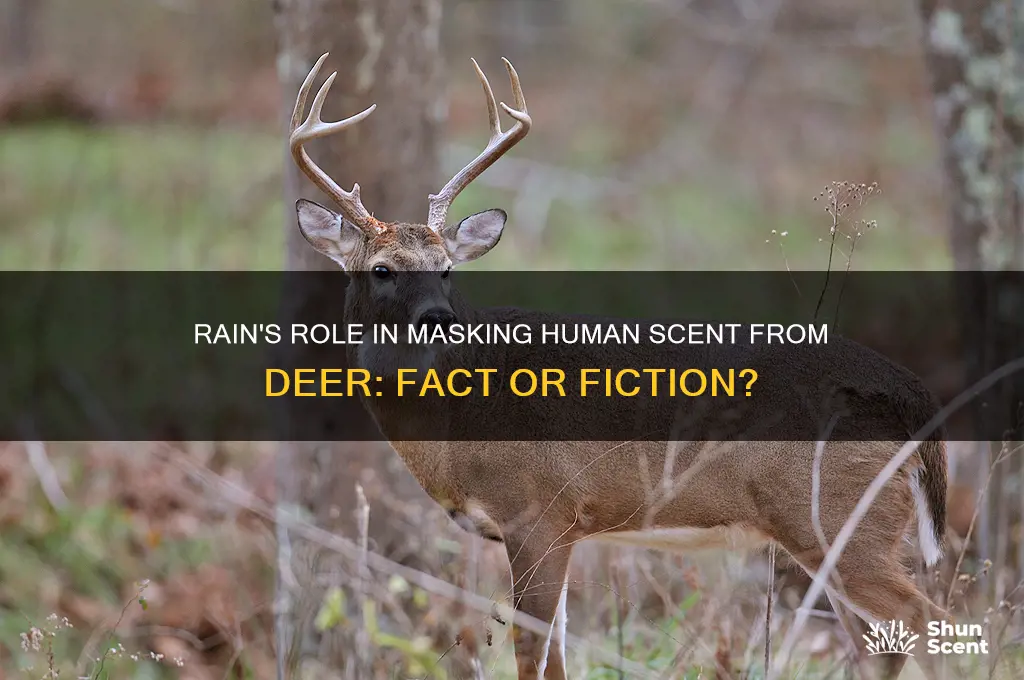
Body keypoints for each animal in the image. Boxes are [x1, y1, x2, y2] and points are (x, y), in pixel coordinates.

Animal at [287, 53, 951, 680]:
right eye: (381, 269)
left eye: (446, 268)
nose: (438, 316)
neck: (455, 418)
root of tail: (916, 400)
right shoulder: (559, 530)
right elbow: (556, 652)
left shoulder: (540, 512)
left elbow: (531, 653)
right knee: (880, 646)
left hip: (836, 517)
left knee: (924, 620)